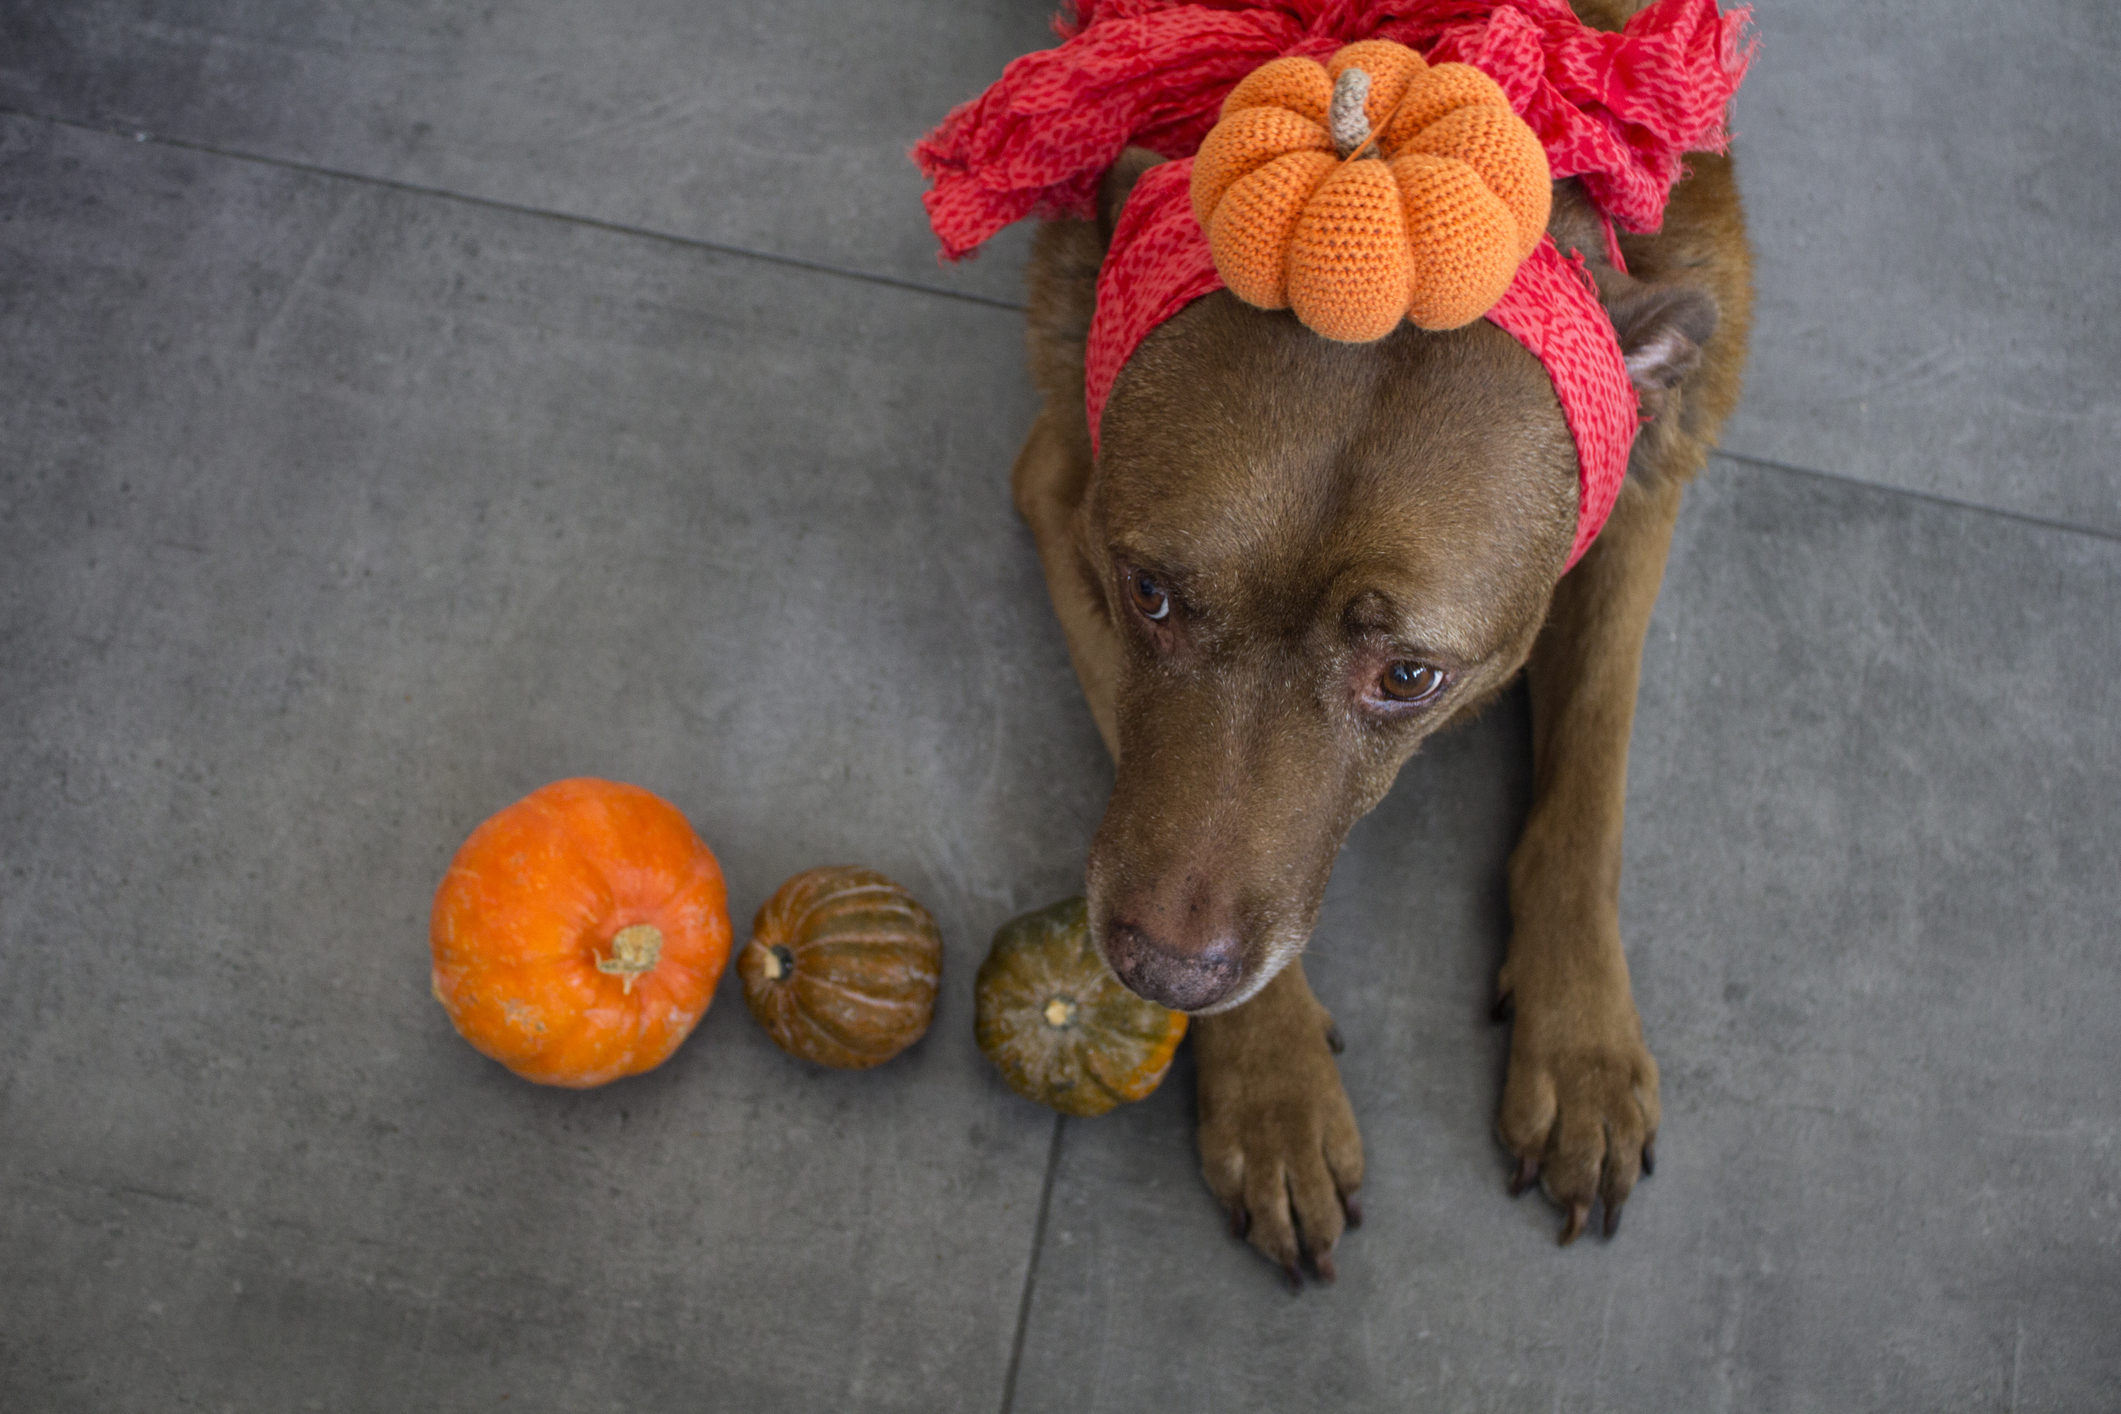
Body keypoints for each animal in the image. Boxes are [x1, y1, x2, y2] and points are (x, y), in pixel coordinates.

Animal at [1001, 0, 1747, 1280]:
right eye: (1147, 594)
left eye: (1409, 676)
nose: (1156, 973)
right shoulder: (1064, 495)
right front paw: (1272, 1088)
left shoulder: (1650, 486)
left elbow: (1588, 787)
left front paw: (1583, 1042)